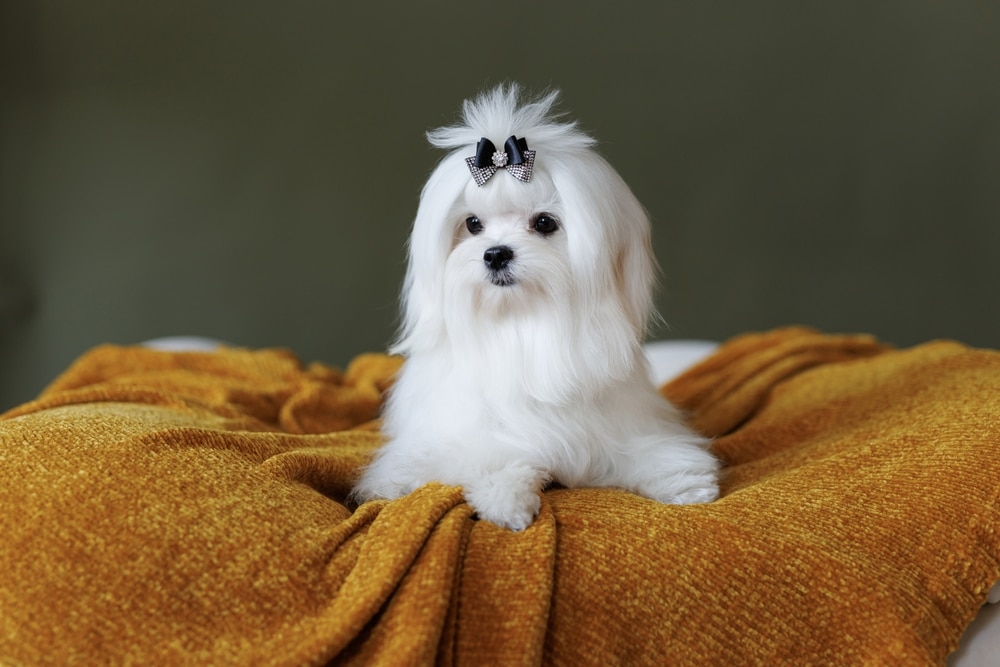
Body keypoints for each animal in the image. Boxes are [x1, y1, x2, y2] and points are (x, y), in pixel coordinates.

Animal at [352, 85, 720, 532]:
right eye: (472, 224)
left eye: (545, 223)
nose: (495, 254)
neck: (523, 323)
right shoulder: (462, 435)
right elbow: (490, 452)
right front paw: (507, 498)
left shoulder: (619, 426)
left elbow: (645, 448)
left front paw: (684, 482)